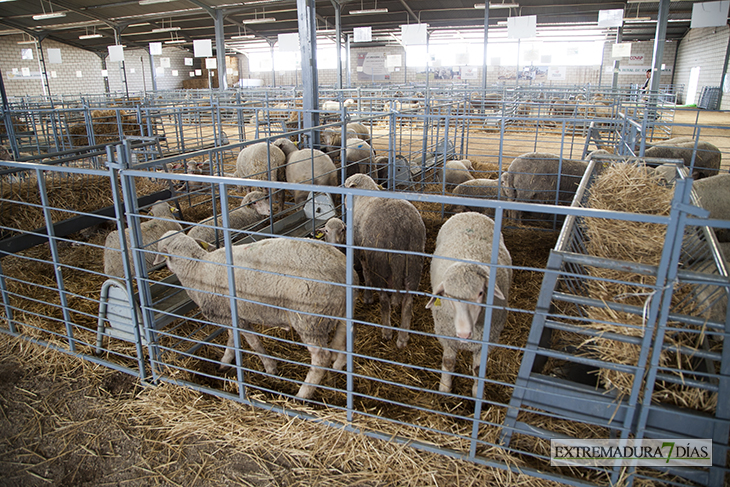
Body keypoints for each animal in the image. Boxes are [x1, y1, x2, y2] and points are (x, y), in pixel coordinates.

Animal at [152, 233, 352, 400]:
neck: (196, 268)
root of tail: (343, 270)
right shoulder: (231, 317)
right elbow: (232, 340)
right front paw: (225, 363)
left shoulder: (236, 319)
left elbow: (254, 343)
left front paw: (270, 368)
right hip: (340, 314)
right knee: (344, 341)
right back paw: (338, 367)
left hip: (308, 319)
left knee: (321, 358)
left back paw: (302, 394)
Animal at [342, 173, 424, 348]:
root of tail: (402, 226)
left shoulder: (362, 250)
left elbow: (365, 273)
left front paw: (367, 297)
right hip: (414, 263)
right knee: (408, 301)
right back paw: (403, 338)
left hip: (380, 263)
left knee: (384, 300)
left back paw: (387, 331)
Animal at [424, 213, 510, 396]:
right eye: (448, 296)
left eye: (480, 293)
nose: (463, 334)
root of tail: (471, 212)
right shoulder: (446, 336)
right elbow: (448, 362)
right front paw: (445, 388)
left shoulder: (487, 341)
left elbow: (478, 370)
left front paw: (477, 394)